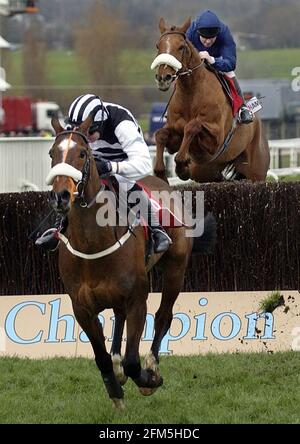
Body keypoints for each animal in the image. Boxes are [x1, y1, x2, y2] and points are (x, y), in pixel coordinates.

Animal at [46, 115, 216, 410]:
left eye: (83, 153)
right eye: (51, 154)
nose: (61, 196)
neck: (92, 242)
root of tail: (162, 182)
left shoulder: (138, 298)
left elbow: (134, 360)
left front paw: (149, 380)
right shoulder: (81, 308)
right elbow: (101, 357)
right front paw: (115, 390)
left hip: (175, 269)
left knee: (163, 317)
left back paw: (152, 364)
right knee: (119, 317)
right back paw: (117, 366)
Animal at [151, 17, 270, 183]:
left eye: (181, 47)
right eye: (158, 45)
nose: (163, 78)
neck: (190, 94)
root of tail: (258, 122)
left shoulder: (215, 139)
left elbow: (192, 126)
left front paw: (182, 166)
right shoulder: (174, 136)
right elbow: (160, 135)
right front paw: (161, 172)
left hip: (257, 171)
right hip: (207, 170)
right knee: (216, 177)